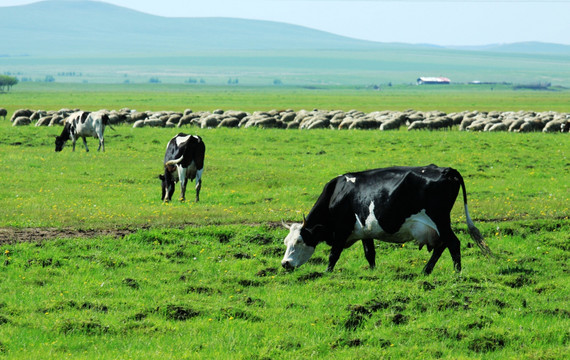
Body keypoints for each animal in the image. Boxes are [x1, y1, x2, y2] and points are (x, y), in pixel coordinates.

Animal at [280, 165, 488, 274]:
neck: (337, 193)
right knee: (442, 245)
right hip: (438, 225)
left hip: (439, 220)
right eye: (285, 242)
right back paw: (425, 271)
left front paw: (327, 272)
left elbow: (333, 254)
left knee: (453, 243)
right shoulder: (365, 231)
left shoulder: (341, 230)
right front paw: (372, 271)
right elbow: (369, 253)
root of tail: (447, 170)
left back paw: (457, 273)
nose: (285, 264)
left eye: (299, 241)